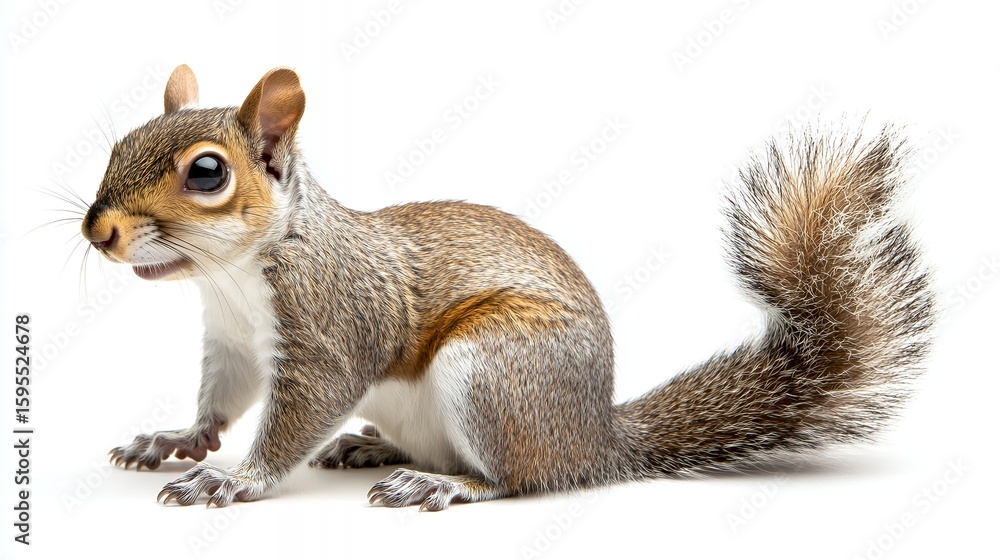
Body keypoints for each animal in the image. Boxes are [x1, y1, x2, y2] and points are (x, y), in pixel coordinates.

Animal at [81, 64, 933, 510]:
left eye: (207, 173)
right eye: (119, 143)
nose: (99, 231)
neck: (232, 274)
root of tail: (594, 439)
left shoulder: (329, 324)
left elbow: (298, 414)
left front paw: (235, 480)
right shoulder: (232, 342)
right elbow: (220, 401)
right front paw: (174, 439)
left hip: (496, 370)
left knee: (520, 479)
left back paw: (444, 484)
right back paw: (372, 446)